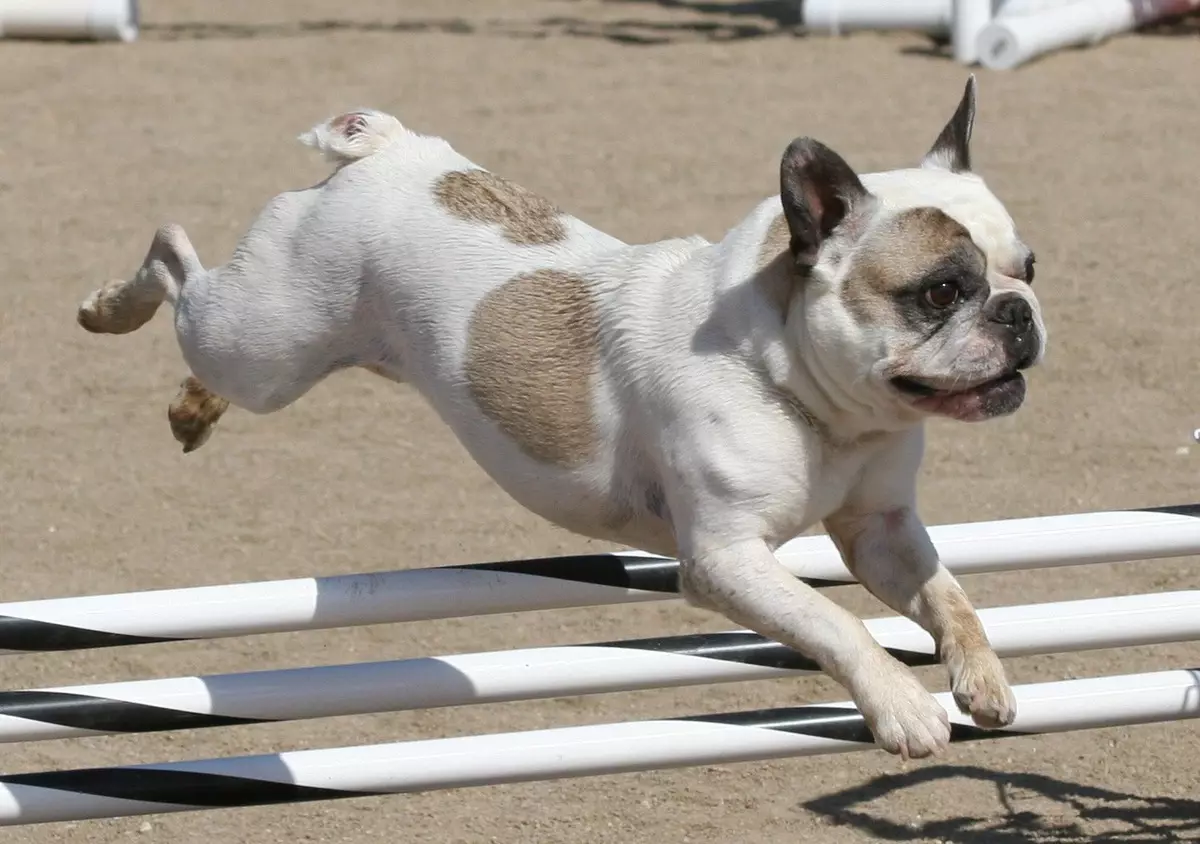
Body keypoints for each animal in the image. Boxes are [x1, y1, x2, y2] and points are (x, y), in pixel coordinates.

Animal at [79, 74, 1046, 758]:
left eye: (1030, 267)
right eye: (940, 292)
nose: (1018, 311)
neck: (800, 385)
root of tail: (392, 152)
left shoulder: (882, 532)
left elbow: (948, 595)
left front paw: (981, 678)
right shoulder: (726, 561)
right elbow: (836, 624)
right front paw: (902, 706)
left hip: (267, 348)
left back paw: (192, 405)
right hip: (262, 344)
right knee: (173, 255)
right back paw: (110, 308)